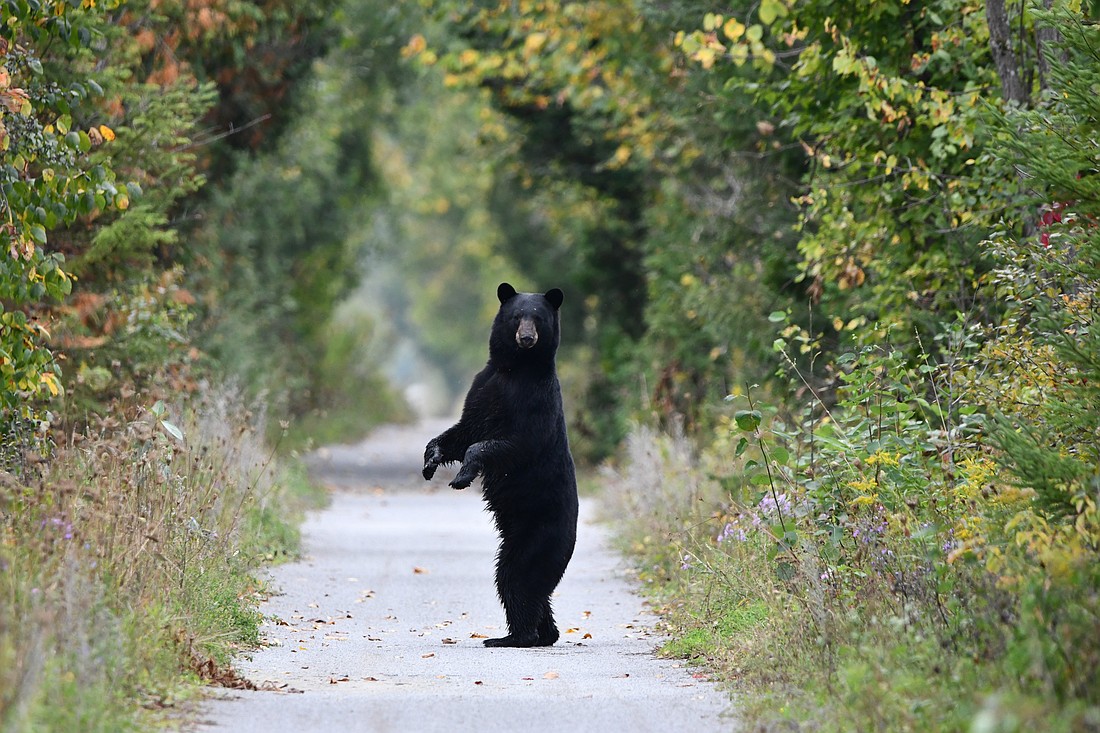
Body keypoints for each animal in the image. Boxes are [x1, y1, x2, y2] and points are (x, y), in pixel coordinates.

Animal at [420, 279, 580, 647]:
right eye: (517, 316)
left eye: (538, 318)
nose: (527, 337)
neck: (515, 368)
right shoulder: (483, 386)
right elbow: (462, 431)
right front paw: (431, 460)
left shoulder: (535, 401)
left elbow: (510, 443)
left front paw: (462, 476)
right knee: (528, 588)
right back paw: (544, 633)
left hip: (539, 536)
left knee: (518, 579)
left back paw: (514, 636)